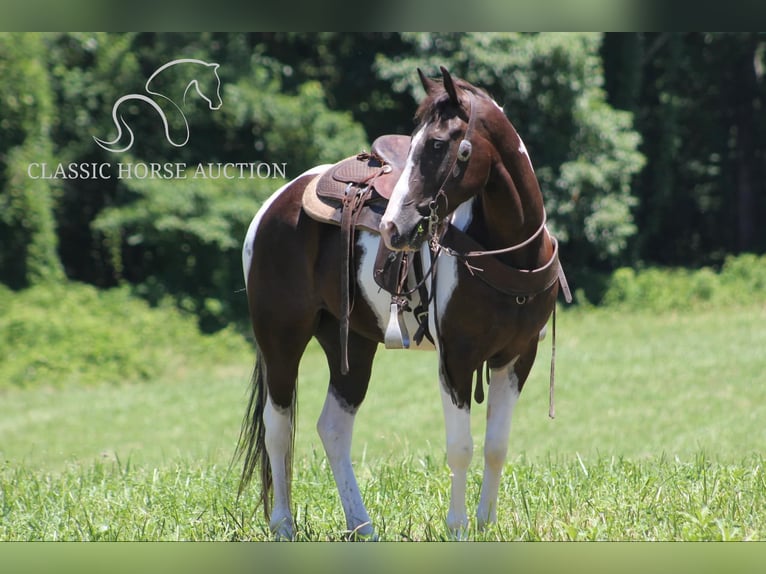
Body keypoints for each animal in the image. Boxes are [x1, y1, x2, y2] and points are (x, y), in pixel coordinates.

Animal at [238, 66, 568, 540]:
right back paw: (284, 525)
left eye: (437, 144)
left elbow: (496, 446)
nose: (394, 227)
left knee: (332, 428)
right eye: (413, 143)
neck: (508, 254)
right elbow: (461, 447)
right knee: (278, 427)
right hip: (281, 339)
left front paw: (485, 525)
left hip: (351, 344)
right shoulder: (457, 358)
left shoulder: (518, 356)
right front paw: (458, 529)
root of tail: (273, 205)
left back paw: (362, 527)